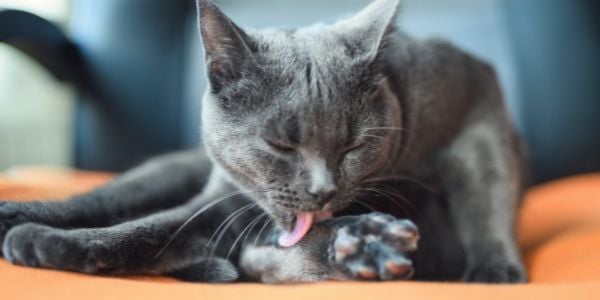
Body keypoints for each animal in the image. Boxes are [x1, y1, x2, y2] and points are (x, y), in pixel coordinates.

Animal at [0, 0, 524, 284]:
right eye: (280, 146)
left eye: (352, 147)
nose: (323, 190)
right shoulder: (222, 202)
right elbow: (146, 231)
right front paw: (50, 243)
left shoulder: (476, 100)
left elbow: (487, 190)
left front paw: (495, 269)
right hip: (164, 175)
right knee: (104, 199)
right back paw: (20, 218)